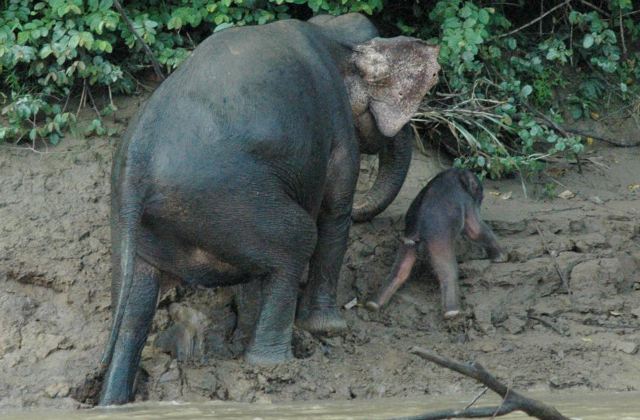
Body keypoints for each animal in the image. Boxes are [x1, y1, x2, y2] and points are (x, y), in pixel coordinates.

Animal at [101, 13, 440, 404]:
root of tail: (134, 171)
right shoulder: (337, 127)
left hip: (148, 223)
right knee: (298, 240)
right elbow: (335, 211)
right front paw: (329, 329)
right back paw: (273, 364)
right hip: (227, 199)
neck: (332, 34)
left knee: (133, 308)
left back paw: (113, 401)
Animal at [368, 167, 508, 318]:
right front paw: (502, 256)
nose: (481, 200)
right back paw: (452, 311)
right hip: (439, 241)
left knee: (400, 271)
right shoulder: (467, 202)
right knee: (448, 271)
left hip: (407, 243)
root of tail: (417, 229)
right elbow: (475, 230)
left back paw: (374, 304)